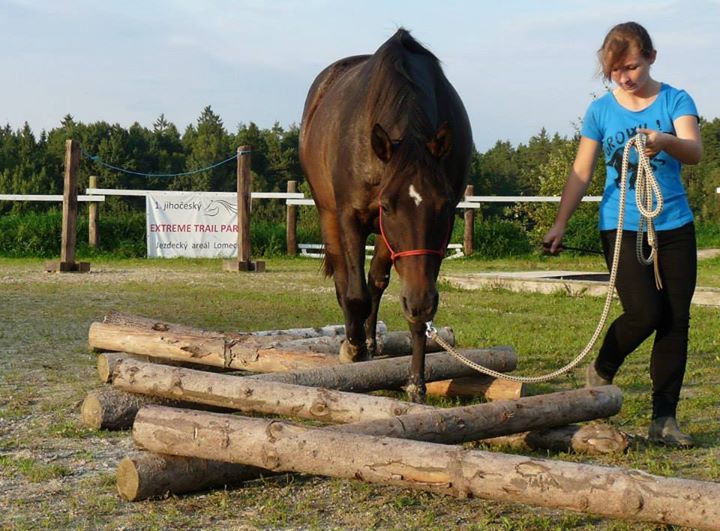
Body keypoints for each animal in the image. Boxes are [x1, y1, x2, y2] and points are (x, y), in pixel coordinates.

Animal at [298, 28, 472, 404]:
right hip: (329, 214)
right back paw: (355, 342)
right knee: (345, 280)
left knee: (376, 281)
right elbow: (354, 294)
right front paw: (352, 349)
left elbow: (402, 299)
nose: (419, 303)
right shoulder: (350, 216)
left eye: (443, 206)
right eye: (389, 206)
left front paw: (416, 382)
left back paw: (370, 340)